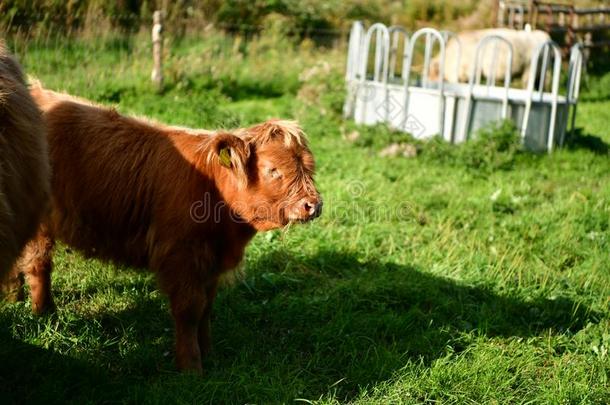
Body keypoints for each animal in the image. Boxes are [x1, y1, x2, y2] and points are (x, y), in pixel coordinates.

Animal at [16, 87, 320, 370]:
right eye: (273, 170)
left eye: (309, 167)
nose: (314, 205)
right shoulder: (181, 256)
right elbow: (190, 310)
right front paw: (191, 366)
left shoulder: (210, 263)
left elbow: (206, 308)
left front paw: (209, 353)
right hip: (40, 222)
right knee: (38, 262)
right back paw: (45, 312)